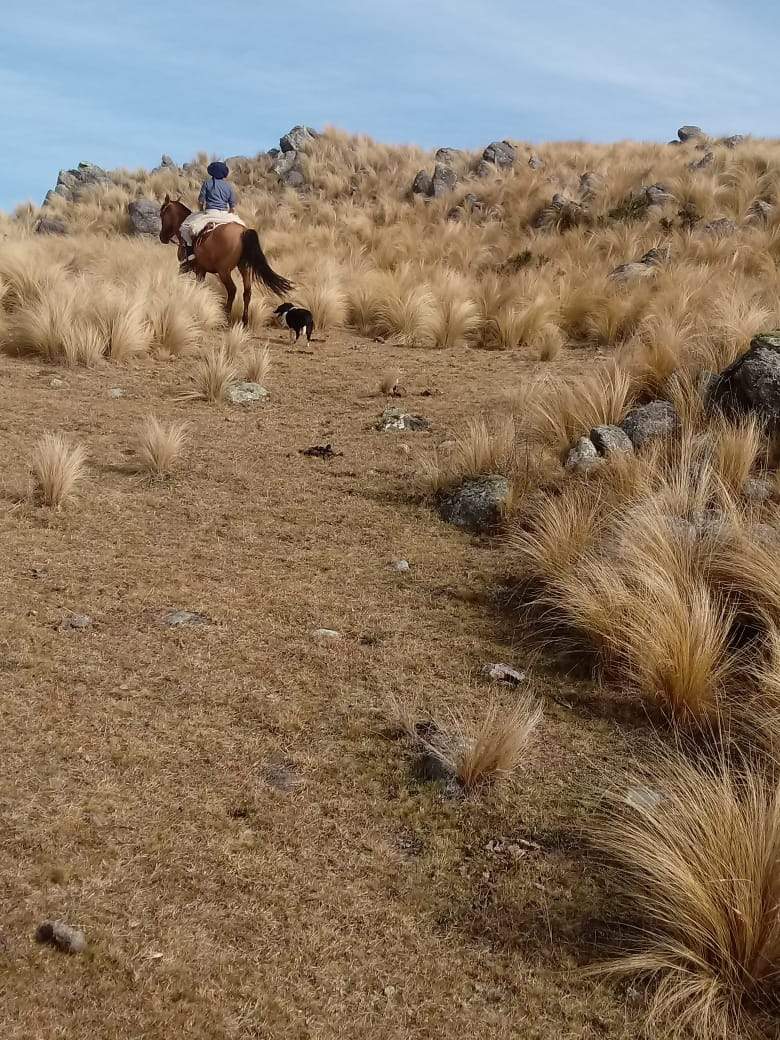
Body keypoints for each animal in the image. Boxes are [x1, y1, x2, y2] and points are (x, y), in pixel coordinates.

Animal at [159, 195, 293, 322]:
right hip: (245, 268)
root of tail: (243, 232)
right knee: (247, 292)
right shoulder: (201, 270)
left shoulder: (186, 267)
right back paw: (244, 320)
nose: (162, 237)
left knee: (232, 290)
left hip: (224, 271)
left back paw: (226, 316)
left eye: (162, 215)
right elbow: (199, 285)